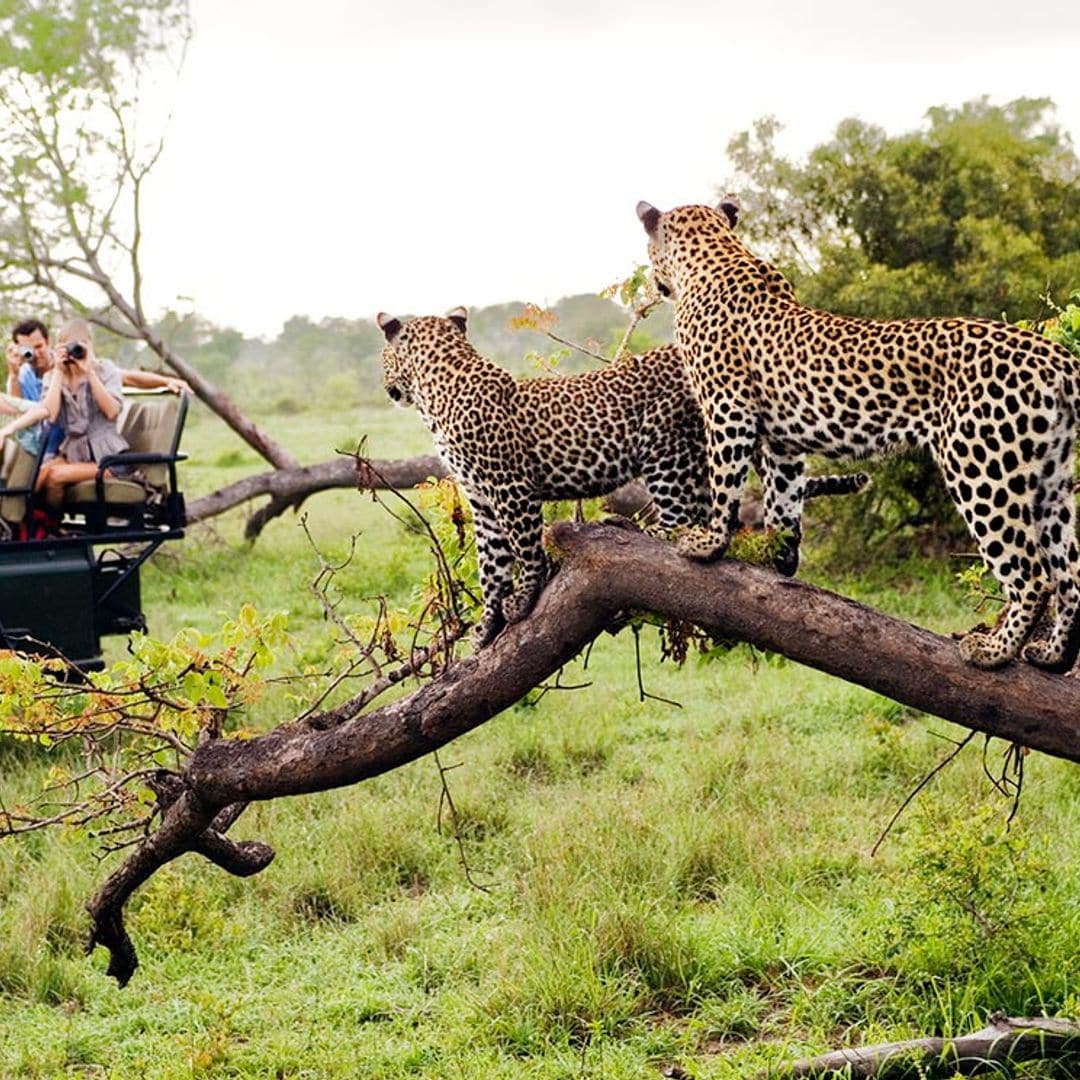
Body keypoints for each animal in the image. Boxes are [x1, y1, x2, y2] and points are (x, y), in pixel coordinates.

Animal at [380, 304, 868, 643]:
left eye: (384, 357)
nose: (387, 389)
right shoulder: (481, 501)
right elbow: (491, 566)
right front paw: (485, 627)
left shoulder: (511, 489)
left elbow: (526, 550)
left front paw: (523, 598)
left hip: (665, 448)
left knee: (681, 523)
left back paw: (635, 529)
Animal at [630, 199, 1080, 669]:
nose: (657, 285)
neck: (715, 255)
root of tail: (1056, 358)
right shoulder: (783, 442)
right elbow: (784, 497)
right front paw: (780, 556)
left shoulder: (727, 407)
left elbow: (725, 482)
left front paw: (709, 543)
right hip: (1049, 477)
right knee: (1070, 574)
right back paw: (1053, 654)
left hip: (981, 467)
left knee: (1033, 575)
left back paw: (994, 650)